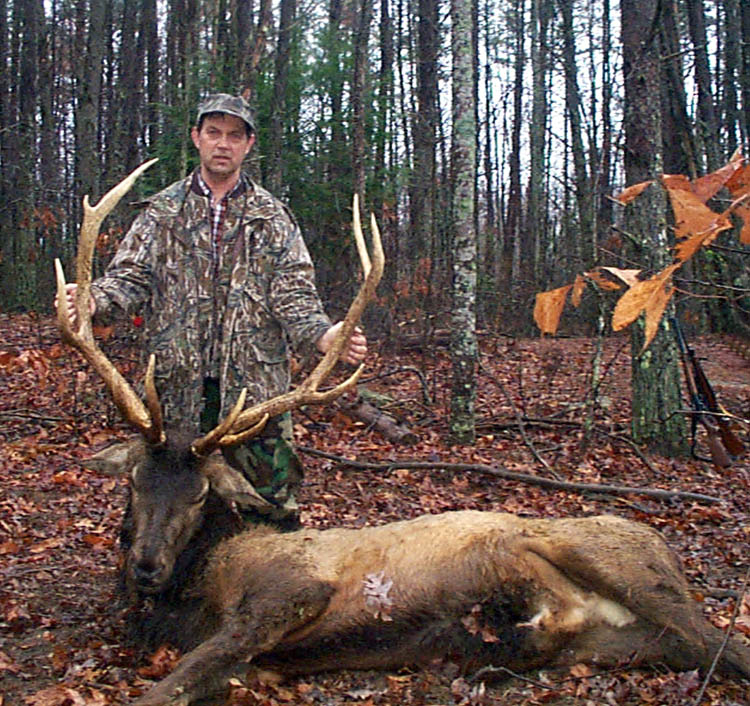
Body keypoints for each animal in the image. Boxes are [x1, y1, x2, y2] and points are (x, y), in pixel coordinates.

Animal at [56, 162, 750, 706]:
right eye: (135, 480)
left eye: (202, 492)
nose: (145, 565)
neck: (196, 591)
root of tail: (668, 551)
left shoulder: (290, 589)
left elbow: (173, 683)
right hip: (624, 640)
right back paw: (493, 660)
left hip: (618, 562)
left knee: (722, 641)